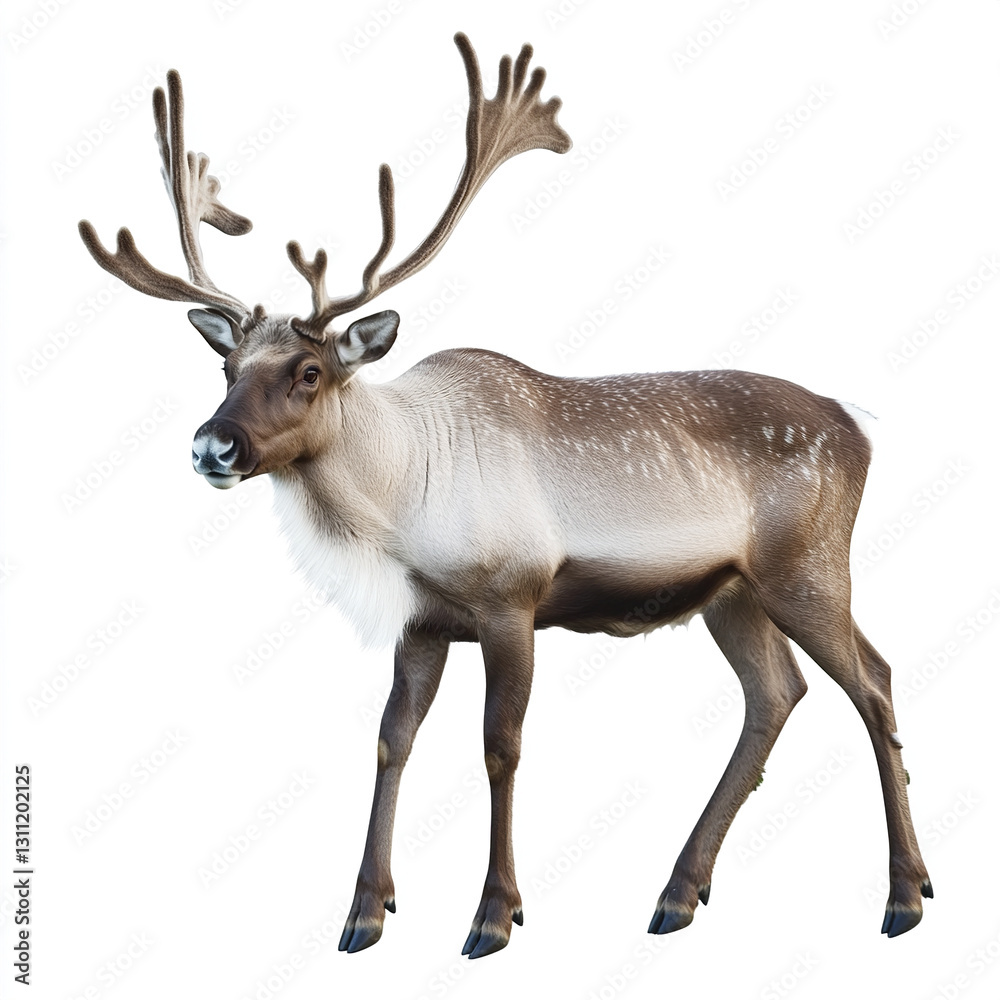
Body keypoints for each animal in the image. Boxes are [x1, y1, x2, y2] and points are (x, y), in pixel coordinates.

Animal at [77, 34, 932, 959]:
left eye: (307, 371)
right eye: (228, 366)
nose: (212, 445)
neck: (399, 509)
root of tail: (859, 425)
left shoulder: (511, 599)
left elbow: (500, 747)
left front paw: (494, 913)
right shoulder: (422, 621)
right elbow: (391, 742)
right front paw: (364, 911)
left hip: (806, 566)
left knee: (874, 682)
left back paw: (905, 895)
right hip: (730, 591)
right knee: (775, 694)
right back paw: (677, 892)